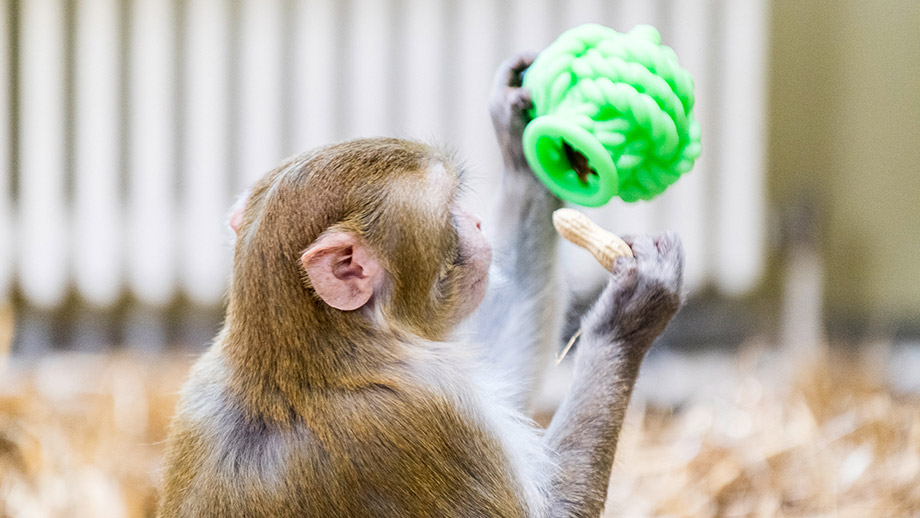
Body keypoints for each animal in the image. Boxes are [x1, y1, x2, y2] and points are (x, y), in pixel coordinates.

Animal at [157, 52, 684, 518]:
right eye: (449, 208)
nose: (476, 224)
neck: (314, 351)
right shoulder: (423, 411)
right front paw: (627, 316)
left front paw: (523, 153)